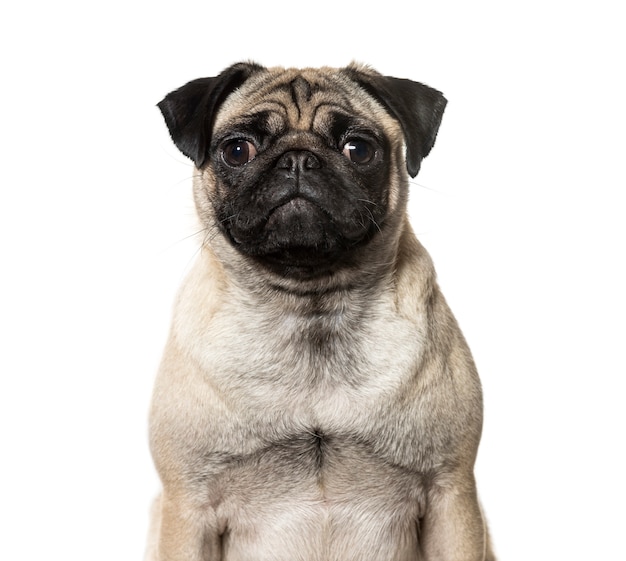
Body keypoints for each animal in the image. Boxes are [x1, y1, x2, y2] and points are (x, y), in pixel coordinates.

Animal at [146, 61, 492, 560]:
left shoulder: (451, 494)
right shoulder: (187, 506)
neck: (310, 306)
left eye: (359, 149)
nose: (298, 160)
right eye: (237, 150)